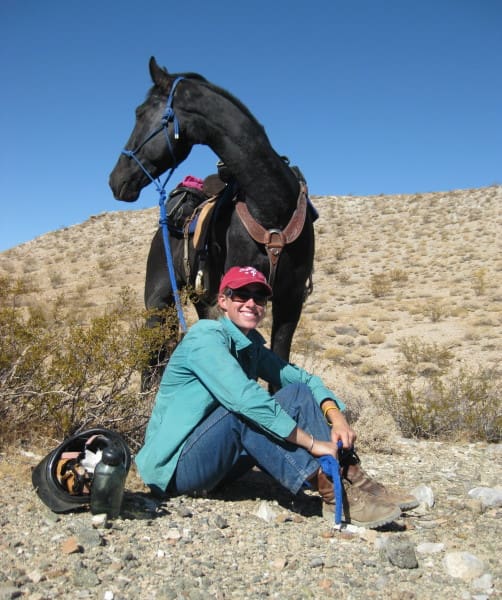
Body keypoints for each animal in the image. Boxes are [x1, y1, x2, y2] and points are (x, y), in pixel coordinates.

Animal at [109, 57, 314, 390]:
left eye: (139, 112)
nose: (116, 180)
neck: (271, 206)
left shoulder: (290, 302)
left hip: (199, 299)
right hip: (158, 301)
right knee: (150, 361)